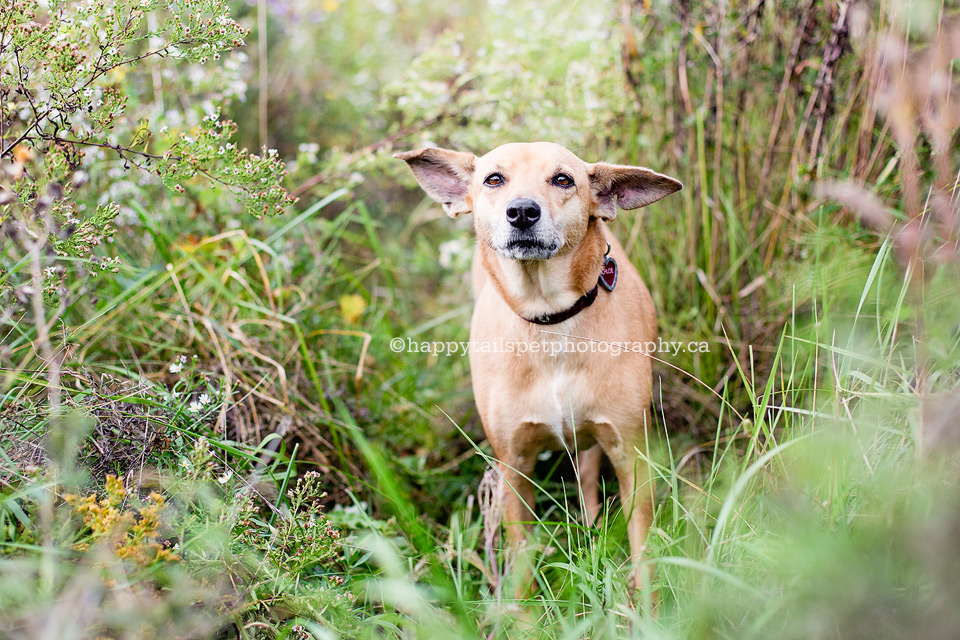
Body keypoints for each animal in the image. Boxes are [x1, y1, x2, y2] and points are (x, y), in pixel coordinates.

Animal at [396, 142, 684, 592]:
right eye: (494, 179)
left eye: (563, 179)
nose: (522, 211)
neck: (551, 319)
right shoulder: (513, 464)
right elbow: (520, 550)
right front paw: (521, 606)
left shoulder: (631, 455)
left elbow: (643, 549)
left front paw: (643, 604)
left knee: (587, 468)